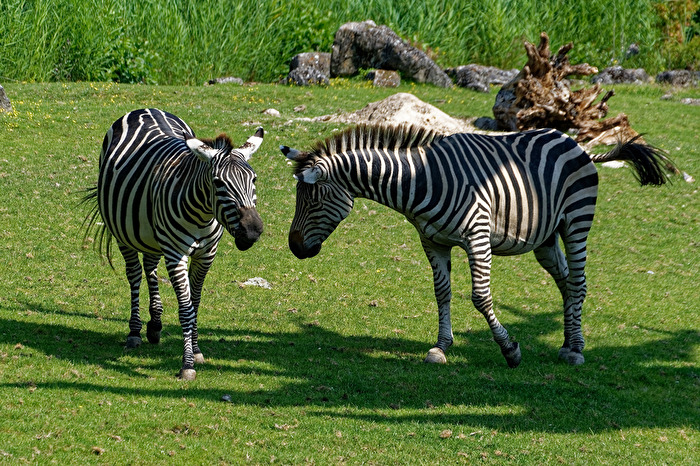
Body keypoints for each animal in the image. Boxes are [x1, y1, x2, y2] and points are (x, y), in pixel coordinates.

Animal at [83, 108, 264, 380]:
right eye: (218, 183)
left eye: (253, 179)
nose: (252, 231)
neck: (203, 214)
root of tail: (145, 108)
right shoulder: (176, 253)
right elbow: (186, 309)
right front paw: (187, 364)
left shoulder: (206, 254)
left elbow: (195, 303)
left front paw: (196, 351)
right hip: (124, 234)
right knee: (134, 274)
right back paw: (135, 332)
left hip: (152, 234)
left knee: (150, 267)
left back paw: (155, 325)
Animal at [281, 124, 676, 367]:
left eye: (313, 200)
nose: (295, 248)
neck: (420, 181)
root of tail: (573, 142)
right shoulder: (432, 241)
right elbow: (441, 293)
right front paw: (441, 347)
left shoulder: (477, 236)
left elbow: (480, 297)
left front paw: (510, 349)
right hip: (546, 238)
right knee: (566, 283)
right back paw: (567, 342)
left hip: (576, 221)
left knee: (578, 282)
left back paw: (577, 350)